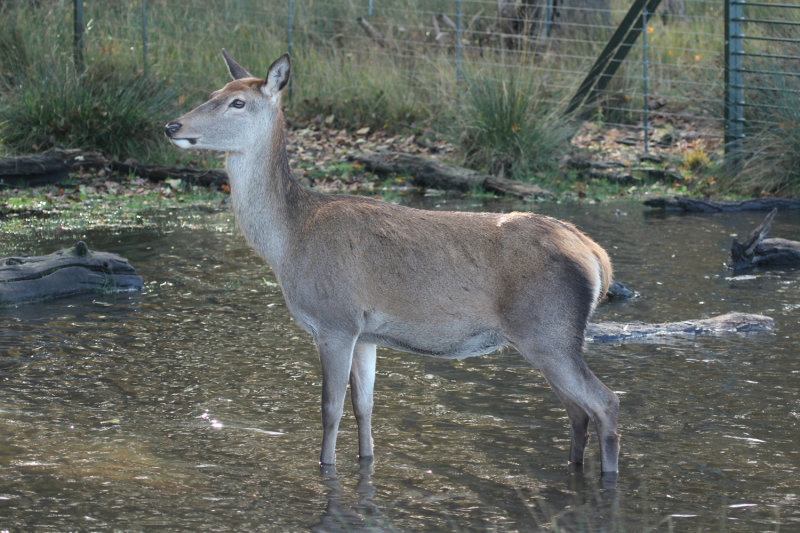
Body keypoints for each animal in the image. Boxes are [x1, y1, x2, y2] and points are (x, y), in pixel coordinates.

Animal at [166, 48, 620, 474]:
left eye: (238, 102)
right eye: (213, 93)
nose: (173, 126)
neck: (290, 242)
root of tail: (597, 256)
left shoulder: (336, 320)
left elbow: (329, 409)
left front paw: (325, 466)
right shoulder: (367, 333)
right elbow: (364, 407)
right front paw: (366, 460)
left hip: (548, 329)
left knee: (604, 401)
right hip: (549, 338)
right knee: (576, 411)